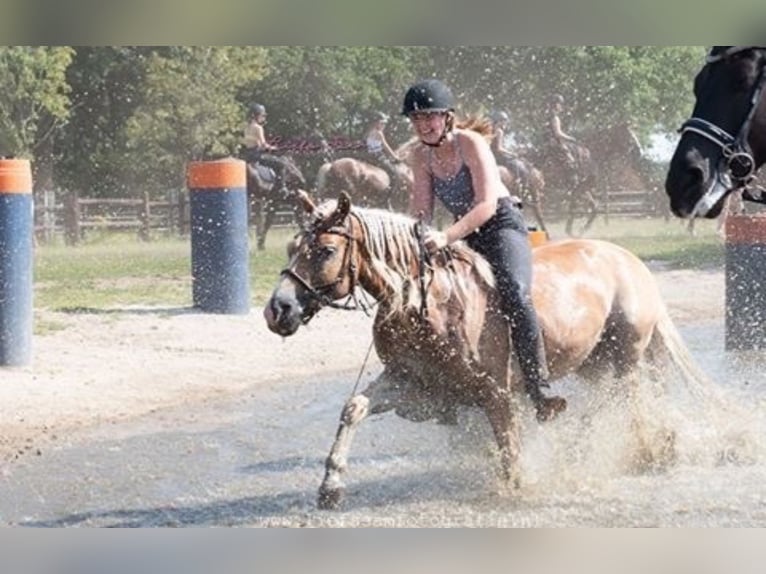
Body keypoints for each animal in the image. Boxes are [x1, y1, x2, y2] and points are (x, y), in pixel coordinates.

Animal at [264, 192, 712, 508]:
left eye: (326, 251)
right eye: (291, 248)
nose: (277, 309)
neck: (428, 303)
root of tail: (632, 262)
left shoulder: (496, 393)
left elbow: (509, 451)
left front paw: (518, 489)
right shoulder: (413, 383)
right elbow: (353, 408)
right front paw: (331, 486)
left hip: (626, 355)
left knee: (626, 398)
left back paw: (648, 451)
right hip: (593, 361)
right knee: (609, 397)